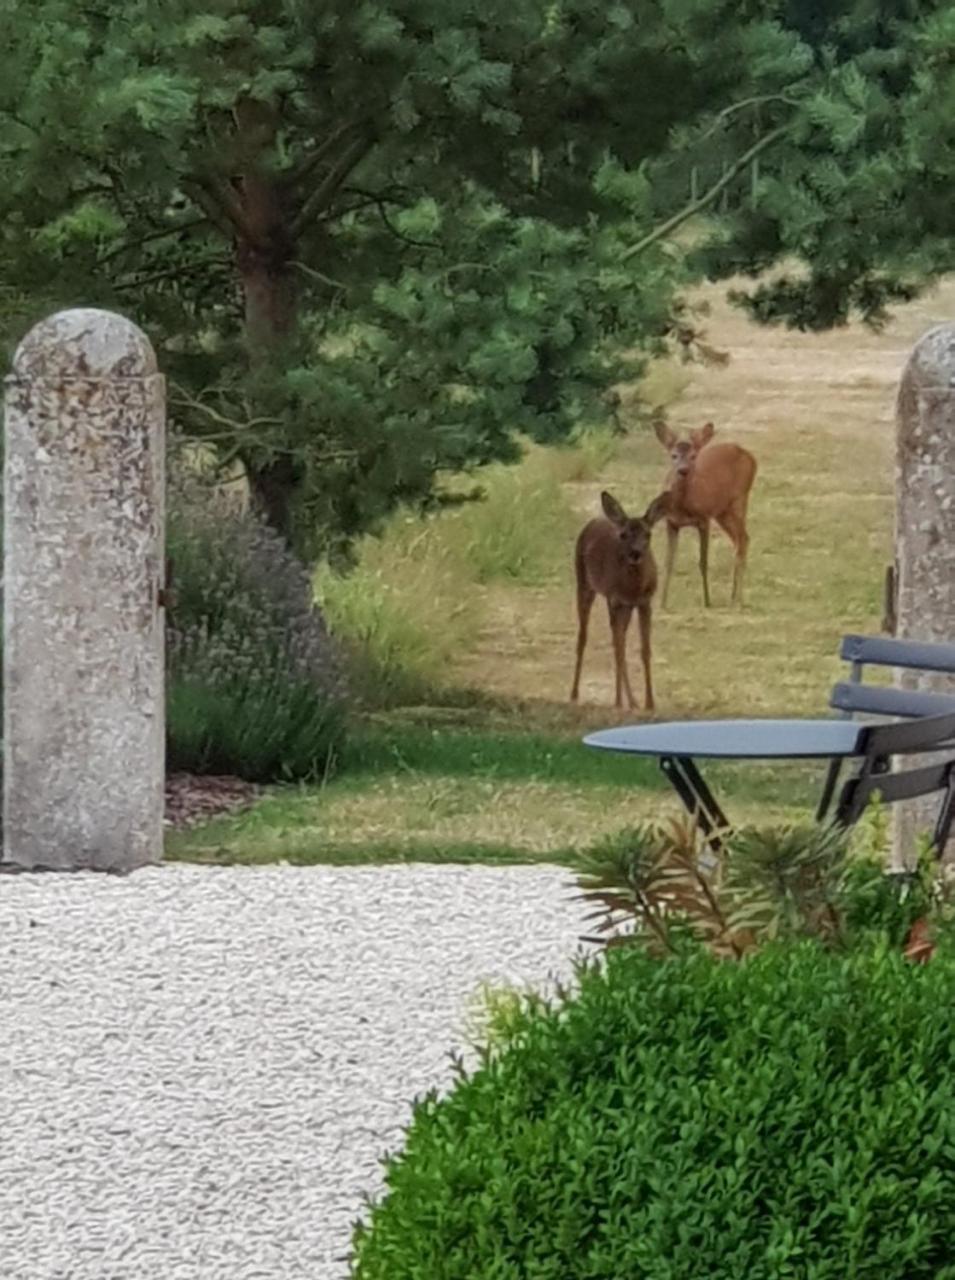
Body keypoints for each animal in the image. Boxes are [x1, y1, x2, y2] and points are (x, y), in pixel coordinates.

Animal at [568, 488, 665, 711]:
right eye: (624, 535)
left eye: (648, 534)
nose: (635, 553)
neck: (633, 588)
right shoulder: (615, 599)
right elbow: (619, 649)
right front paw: (619, 702)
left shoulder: (644, 602)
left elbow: (644, 650)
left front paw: (649, 703)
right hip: (585, 584)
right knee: (583, 637)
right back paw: (574, 694)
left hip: (621, 606)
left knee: (617, 640)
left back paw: (633, 701)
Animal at [650, 414, 752, 604]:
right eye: (674, 455)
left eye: (693, 456)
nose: (683, 470)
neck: (682, 505)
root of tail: (749, 456)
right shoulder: (671, 522)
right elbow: (668, 562)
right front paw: (663, 603)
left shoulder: (704, 518)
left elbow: (703, 562)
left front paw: (707, 602)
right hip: (722, 511)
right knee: (739, 539)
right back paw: (732, 595)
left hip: (740, 498)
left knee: (743, 538)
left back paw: (739, 599)